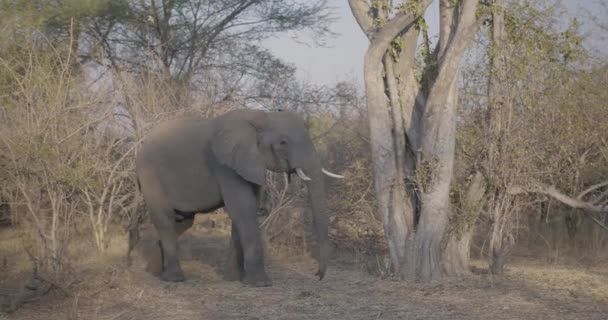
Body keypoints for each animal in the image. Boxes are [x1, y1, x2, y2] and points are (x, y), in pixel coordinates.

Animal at [131, 109, 344, 288]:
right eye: (283, 143)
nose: (317, 275)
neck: (261, 117)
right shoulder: (224, 165)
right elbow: (243, 208)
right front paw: (260, 284)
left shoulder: (249, 163)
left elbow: (245, 210)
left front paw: (234, 279)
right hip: (150, 175)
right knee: (165, 219)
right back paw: (174, 278)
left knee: (183, 221)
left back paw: (154, 271)